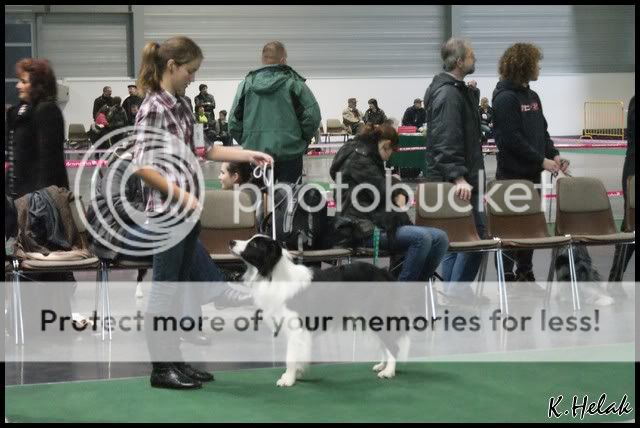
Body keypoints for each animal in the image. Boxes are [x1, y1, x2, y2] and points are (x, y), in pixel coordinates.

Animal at [229, 234, 411, 387]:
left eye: (253, 244)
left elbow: (290, 356)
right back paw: (382, 365)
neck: (272, 273)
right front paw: (296, 373)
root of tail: (383, 272)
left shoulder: (296, 327)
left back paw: (388, 371)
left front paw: (288, 379)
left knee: (392, 344)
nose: (231, 242)